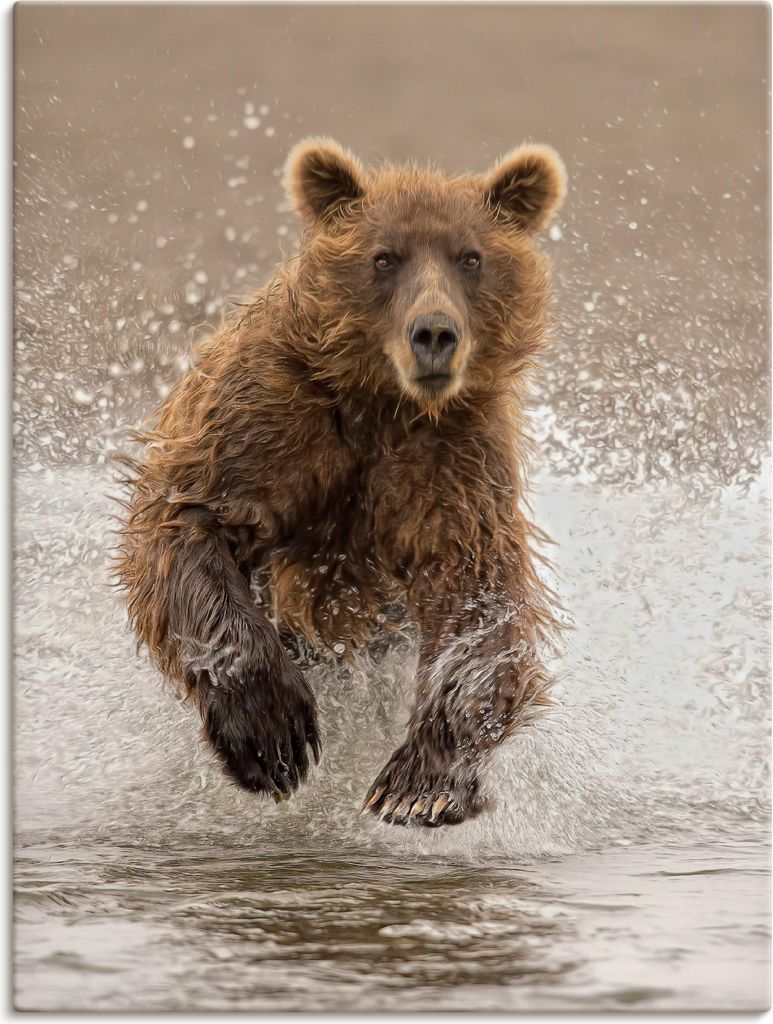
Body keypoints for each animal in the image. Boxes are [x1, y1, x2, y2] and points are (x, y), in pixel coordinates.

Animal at [114, 137, 566, 828]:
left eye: (471, 257)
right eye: (384, 257)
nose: (434, 333)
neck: (382, 402)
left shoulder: (453, 461)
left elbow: (477, 593)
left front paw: (419, 785)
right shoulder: (270, 419)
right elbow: (191, 519)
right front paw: (272, 736)